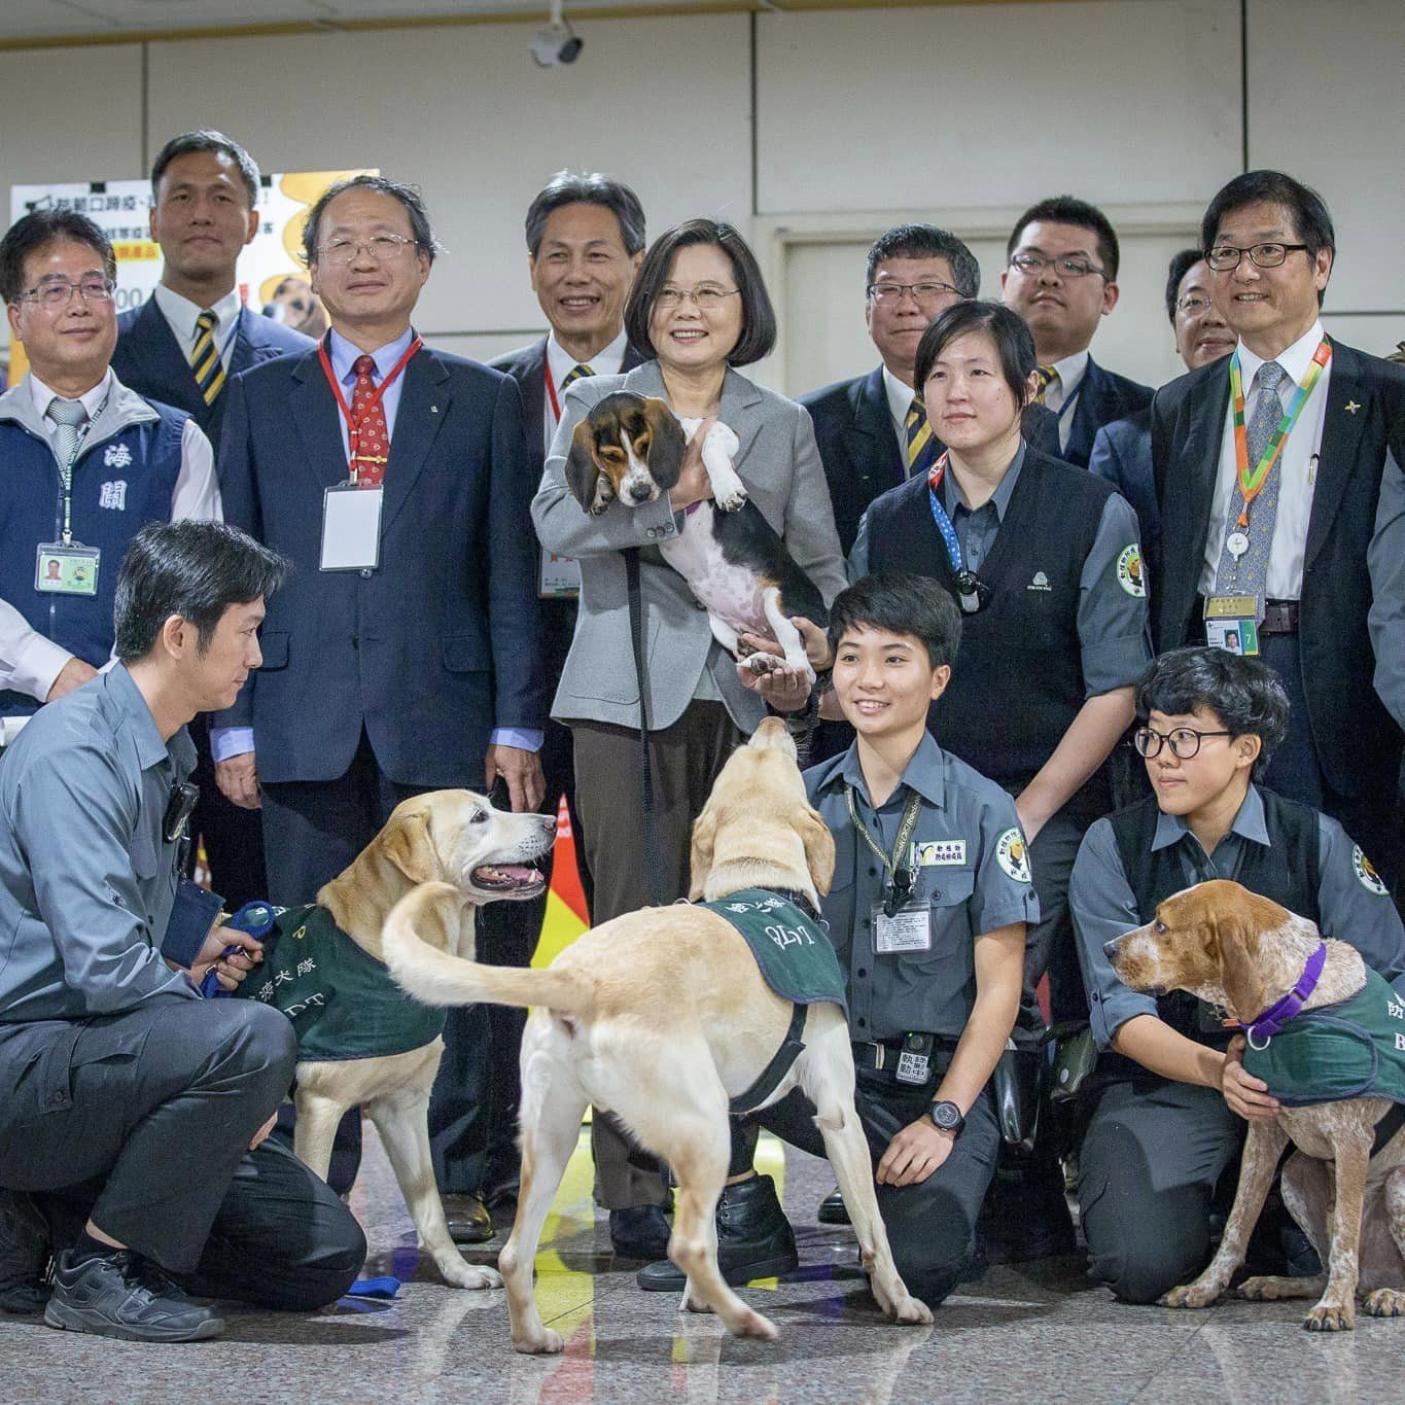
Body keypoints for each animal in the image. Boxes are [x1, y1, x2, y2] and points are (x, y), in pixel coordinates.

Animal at [564, 393, 826, 682]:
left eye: (645, 446)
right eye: (610, 455)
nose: (641, 492)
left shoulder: (720, 430)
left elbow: (709, 445)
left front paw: (727, 489)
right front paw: (599, 490)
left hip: (778, 601)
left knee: (804, 669)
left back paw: (780, 667)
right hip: (719, 625)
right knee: (753, 650)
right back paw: (760, 661)